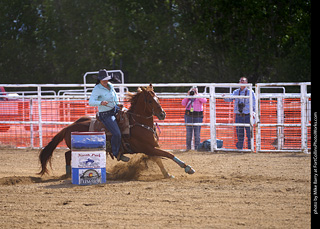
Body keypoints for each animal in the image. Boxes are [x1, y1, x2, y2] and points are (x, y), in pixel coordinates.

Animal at [38, 84, 196, 179]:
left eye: (157, 97)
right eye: (150, 101)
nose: (163, 114)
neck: (138, 123)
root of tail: (69, 127)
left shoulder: (152, 147)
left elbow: (159, 159)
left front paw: (167, 174)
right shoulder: (148, 147)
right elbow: (168, 154)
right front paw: (187, 167)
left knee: (67, 154)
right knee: (69, 155)